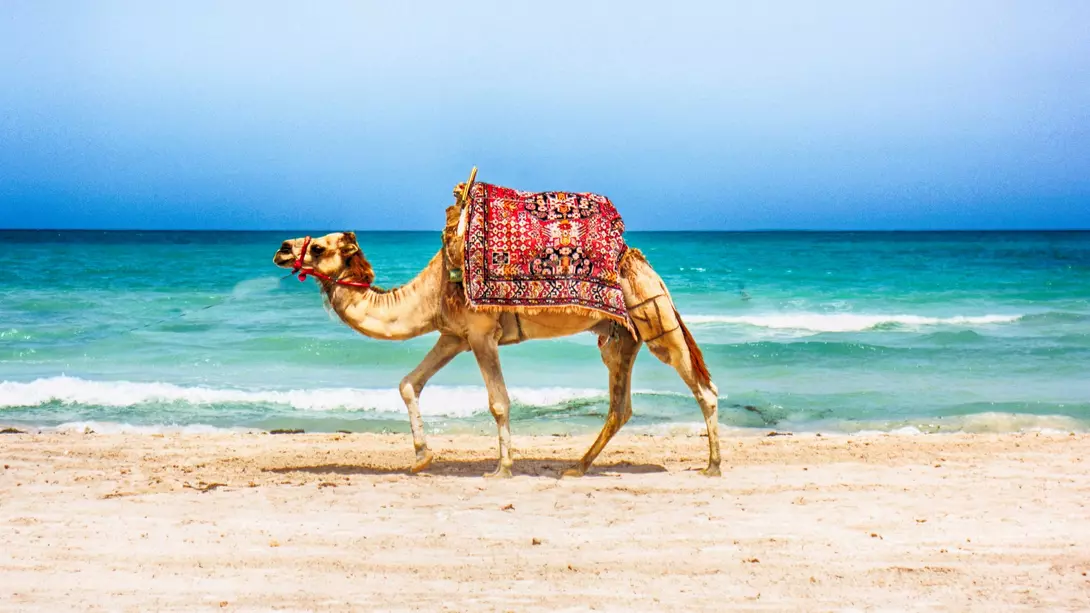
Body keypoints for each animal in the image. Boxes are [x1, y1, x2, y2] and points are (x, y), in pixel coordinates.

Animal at [272, 196, 721, 478]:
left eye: (320, 248)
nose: (282, 247)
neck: (432, 290)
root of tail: (639, 260)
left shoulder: (480, 333)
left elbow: (499, 402)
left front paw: (501, 469)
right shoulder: (452, 335)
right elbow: (408, 384)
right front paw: (421, 459)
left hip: (653, 314)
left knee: (703, 389)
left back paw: (713, 466)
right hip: (621, 336)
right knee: (620, 406)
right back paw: (576, 467)